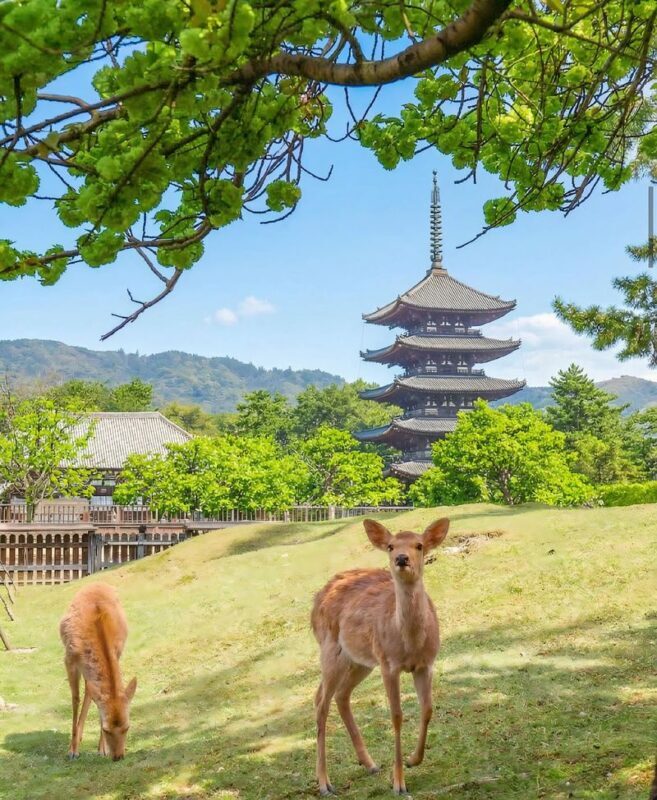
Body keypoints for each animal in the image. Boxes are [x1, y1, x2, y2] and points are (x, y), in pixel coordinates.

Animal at [60, 582, 137, 761]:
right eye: (107, 729)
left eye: (127, 727)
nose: (118, 757)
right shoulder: (69, 659)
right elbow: (75, 699)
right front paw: (73, 750)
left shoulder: (117, 653)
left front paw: (102, 749)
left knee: (90, 691)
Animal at [311, 517, 449, 796]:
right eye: (390, 546)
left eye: (419, 545)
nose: (402, 558)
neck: (410, 643)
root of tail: (315, 602)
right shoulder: (388, 664)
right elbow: (396, 716)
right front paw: (399, 783)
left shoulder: (426, 664)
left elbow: (427, 708)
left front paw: (413, 759)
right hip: (331, 650)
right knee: (321, 702)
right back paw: (324, 783)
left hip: (359, 660)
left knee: (339, 695)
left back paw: (370, 764)